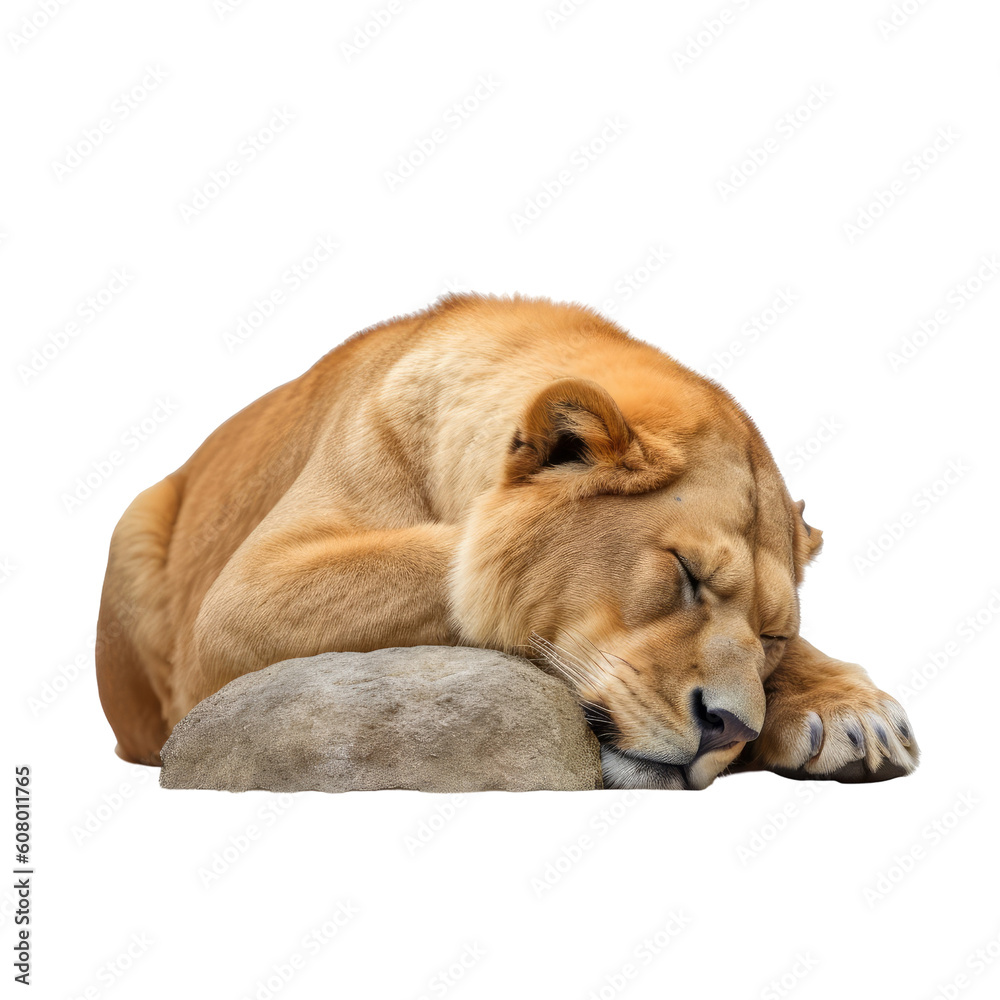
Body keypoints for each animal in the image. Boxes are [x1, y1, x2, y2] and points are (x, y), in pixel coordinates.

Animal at [96, 293, 918, 789]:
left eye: (774, 635)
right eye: (683, 572)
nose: (730, 729)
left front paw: (850, 710)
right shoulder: (241, 597)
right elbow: (451, 556)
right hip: (134, 527)